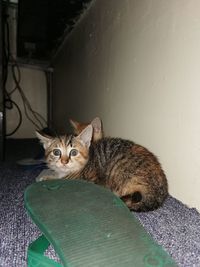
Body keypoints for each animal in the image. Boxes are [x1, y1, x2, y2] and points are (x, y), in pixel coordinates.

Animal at [35, 122, 167, 213]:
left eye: (73, 152)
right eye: (56, 152)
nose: (64, 161)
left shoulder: (87, 179)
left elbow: (63, 179)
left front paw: (46, 178)